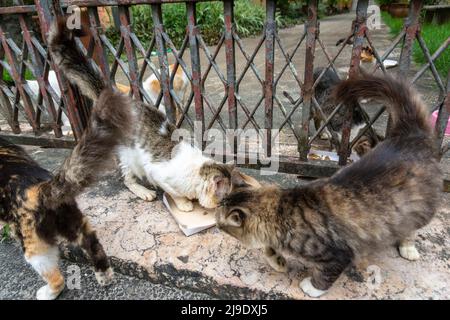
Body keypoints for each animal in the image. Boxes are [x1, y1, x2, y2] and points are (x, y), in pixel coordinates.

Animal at [0, 86, 132, 298]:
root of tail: (40, 188)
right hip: (73, 221)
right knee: (92, 243)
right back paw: (105, 277)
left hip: (34, 246)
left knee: (57, 278)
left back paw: (46, 293)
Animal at [49, 17, 244, 212]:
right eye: (225, 198)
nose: (229, 205)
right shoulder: (158, 174)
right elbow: (174, 193)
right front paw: (184, 203)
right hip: (127, 157)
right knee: (127, 179)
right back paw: (143, 191)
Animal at [216, 73, 442, 298]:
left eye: (220, 224)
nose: (216, 226)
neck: (283, 210)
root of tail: (411, 135)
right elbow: (269, 248)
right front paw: (277, 260)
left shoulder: (338, 254)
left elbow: (326, 274)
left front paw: (311, 287)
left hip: (420, 208)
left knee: (411, 228)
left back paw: (408, 247)